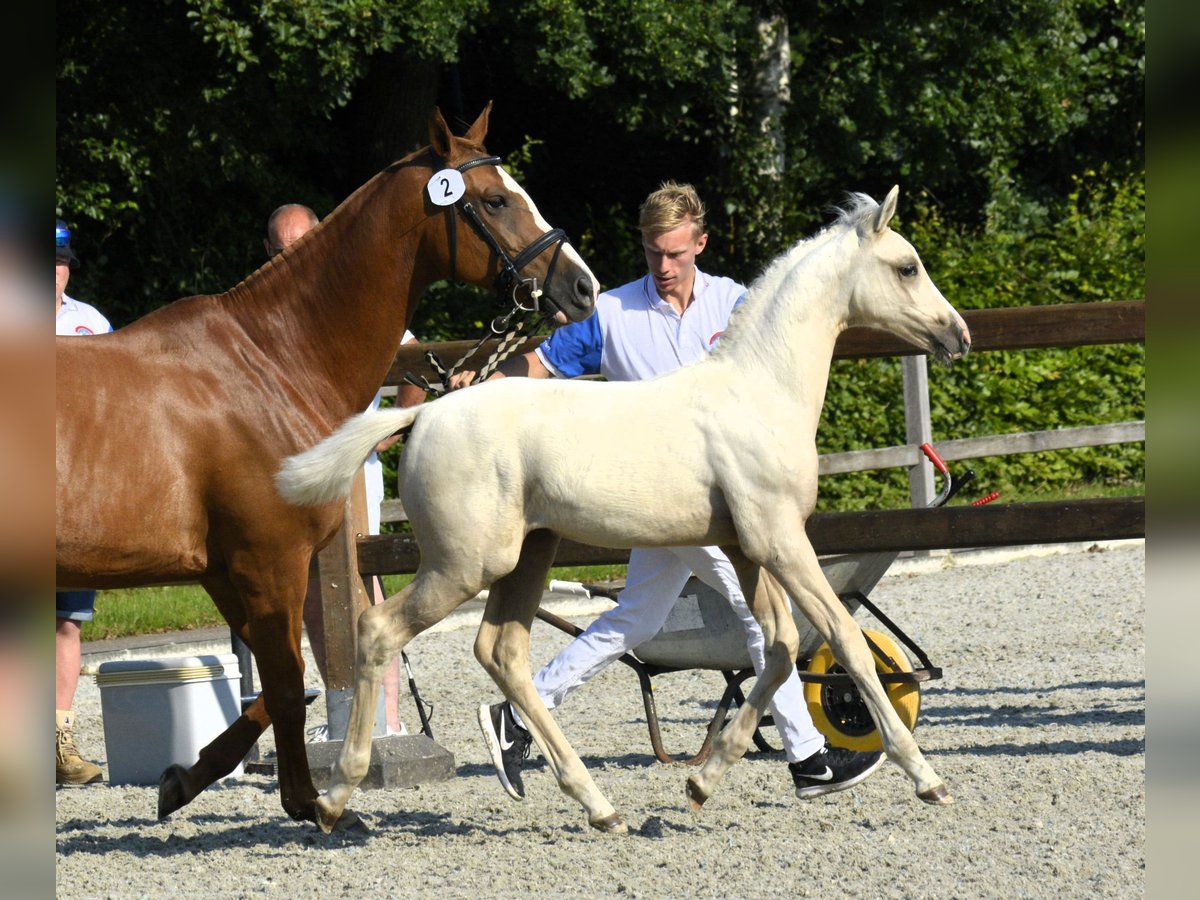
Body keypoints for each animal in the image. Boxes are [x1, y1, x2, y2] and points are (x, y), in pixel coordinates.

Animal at [56, 102, 600, 830]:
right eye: (493, 200)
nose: (583, 286)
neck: (271, 361)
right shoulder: (272, 561)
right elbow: (287, 686)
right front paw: (313, 804)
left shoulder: (228, 571)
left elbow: (280, 688)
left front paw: (185, 779)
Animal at [276, 187, 969, 835]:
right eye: (907, 267)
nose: (957, 334)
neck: (760, 391)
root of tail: (425, 414)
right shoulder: (780, 540)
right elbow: (846, 641)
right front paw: (928, 779)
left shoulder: (748, 548)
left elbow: (777, 647)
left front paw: (702, 784)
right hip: (466, 563)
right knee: (379, 630)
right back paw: (336, 799)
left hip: (528, 555)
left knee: (502, 652)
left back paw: (597, 804)